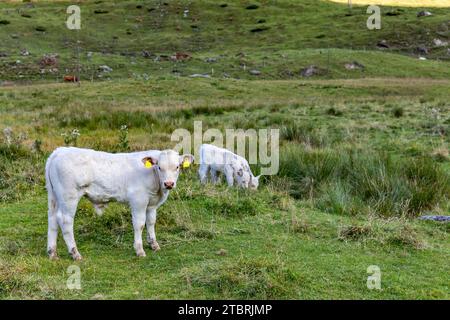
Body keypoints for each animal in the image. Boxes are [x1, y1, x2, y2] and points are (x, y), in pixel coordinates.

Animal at [45, 148, 193, 260]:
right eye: (160, 167)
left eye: (177, 167)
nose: (169, 184)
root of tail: (59, 151)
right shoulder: (138, 200)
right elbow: (139, 224)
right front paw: (139, 250)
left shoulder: (151, 204)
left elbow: (151, 222)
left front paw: (154, 245)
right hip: (69, 196)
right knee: (65, 220)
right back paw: (75, 253)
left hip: (54, 197)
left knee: (52, 219)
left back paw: (52, 253)